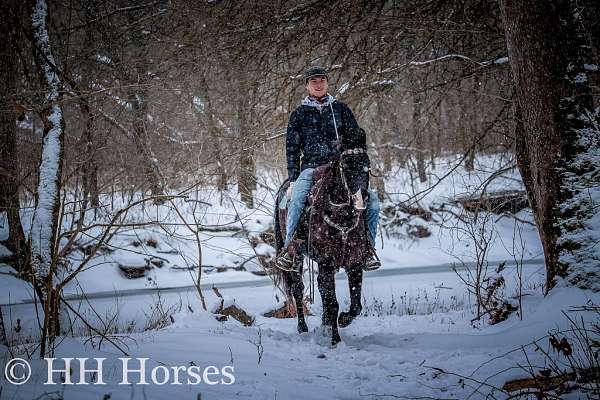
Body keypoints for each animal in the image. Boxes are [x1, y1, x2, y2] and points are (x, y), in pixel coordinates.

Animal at [274, 148, 372, 346]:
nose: (362, 198)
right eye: (346, 166)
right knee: (297, 289)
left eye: (367, 165)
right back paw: (303, 328)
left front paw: (342, 320)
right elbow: (332, 303)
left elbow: (356, 305)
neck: (342, 217)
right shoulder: (326, 262)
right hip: (297, 255)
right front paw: (336, 340)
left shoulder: (355, 264)